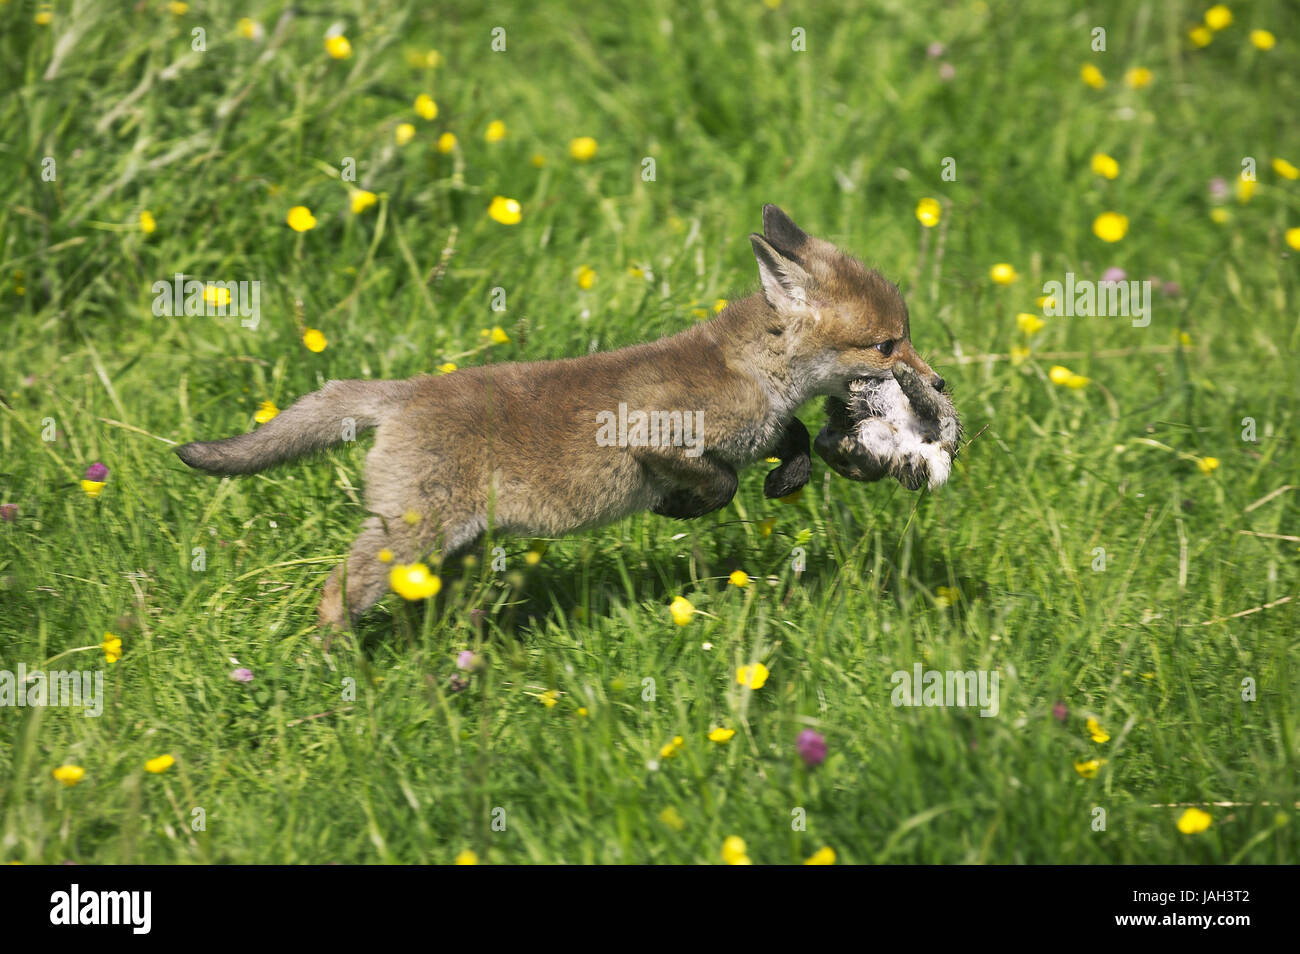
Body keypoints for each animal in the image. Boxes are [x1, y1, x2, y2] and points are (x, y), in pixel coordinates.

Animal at [175, 205, 946, 630]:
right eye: (887, 345)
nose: (939, 381)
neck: (749, 369)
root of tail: (404, 393)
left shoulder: (754, 428)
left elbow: (789, 442)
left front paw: (785, 477)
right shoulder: (649, 434)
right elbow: (718, 482)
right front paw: (679, 508)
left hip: (451, 547)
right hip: (413, 534)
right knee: (336, 593)